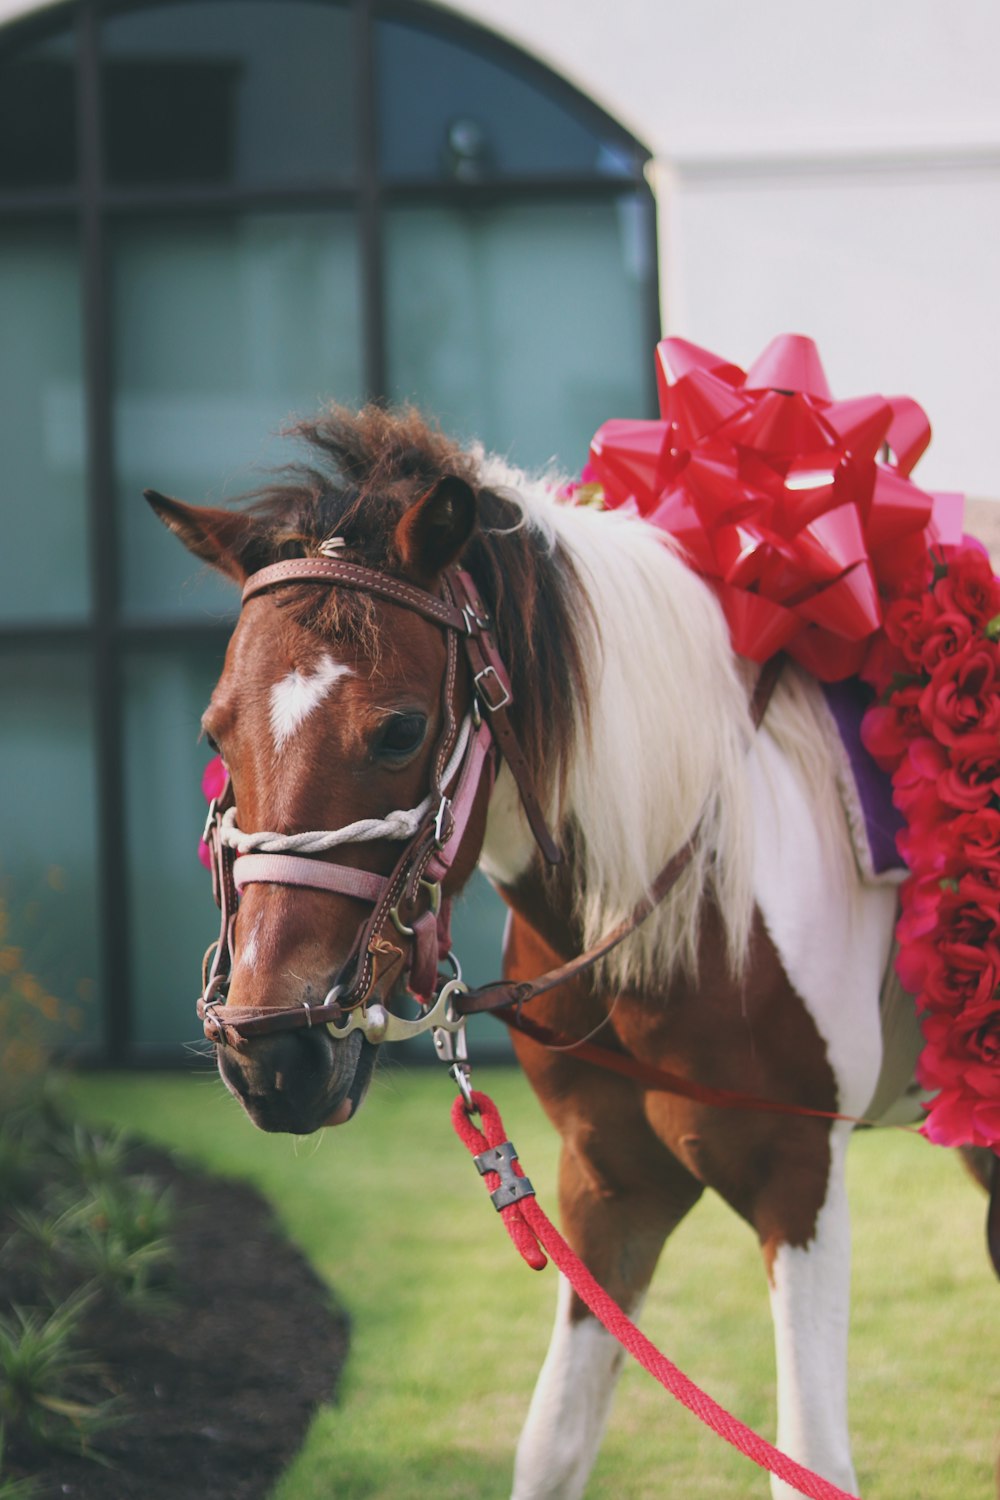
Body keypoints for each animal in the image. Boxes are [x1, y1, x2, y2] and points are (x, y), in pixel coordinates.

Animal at [148, 405, 983, 1500]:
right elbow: (552, 1442)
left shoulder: (801, 1178)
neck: (688, 892)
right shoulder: (606, 1184)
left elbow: (808, 1458)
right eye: (215, 733)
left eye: (400, 730)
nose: (268, 1050)